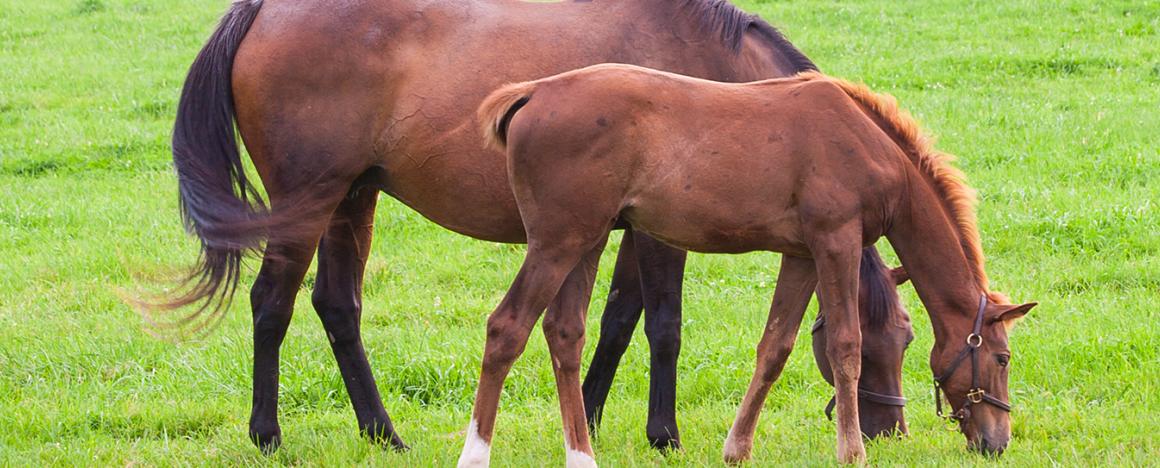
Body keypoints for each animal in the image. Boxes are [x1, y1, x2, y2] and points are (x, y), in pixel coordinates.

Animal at [475, 65, 1039, 464]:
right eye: (1003, 358)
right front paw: (852, 452)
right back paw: (476, 453)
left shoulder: (802, 255)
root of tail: (532, 93)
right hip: (556, 243)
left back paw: (582, 456)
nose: (998, 442)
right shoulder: (837, 242)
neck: (868, 144)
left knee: (564, 335)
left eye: (908, 340)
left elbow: (775, 347)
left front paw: (737, 448)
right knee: (507, 328)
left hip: (586, 242)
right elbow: (846, 345)